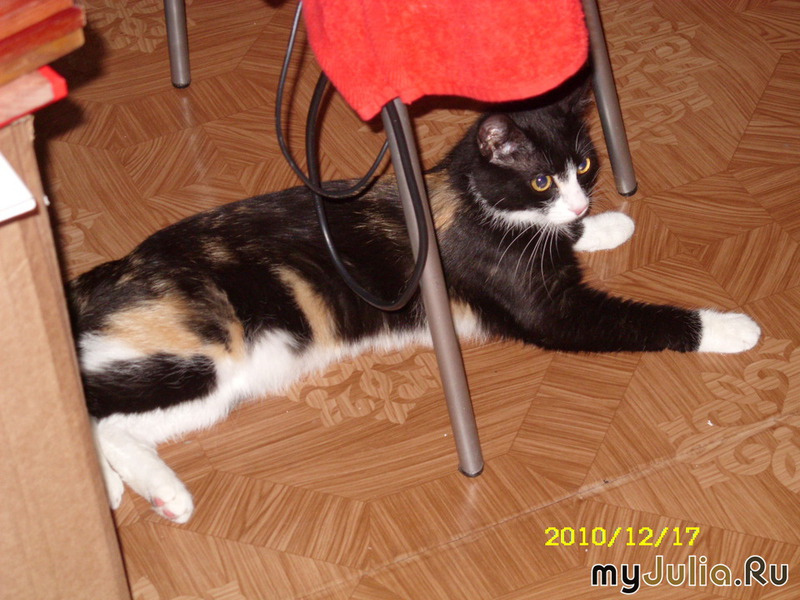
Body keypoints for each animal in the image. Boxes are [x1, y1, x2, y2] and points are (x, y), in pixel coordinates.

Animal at [69, 82, 760, 523]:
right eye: (541, 178)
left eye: (586, 166)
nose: (579, 201)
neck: (472, 198)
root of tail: (117, 269)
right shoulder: (553, 314)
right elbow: (645, 319)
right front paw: (732, 326)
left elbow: (564, 238)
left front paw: (605, 225)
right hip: (203, 352)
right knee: (94, 408)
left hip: (225, 383)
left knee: (117, 426)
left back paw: (150, 494)